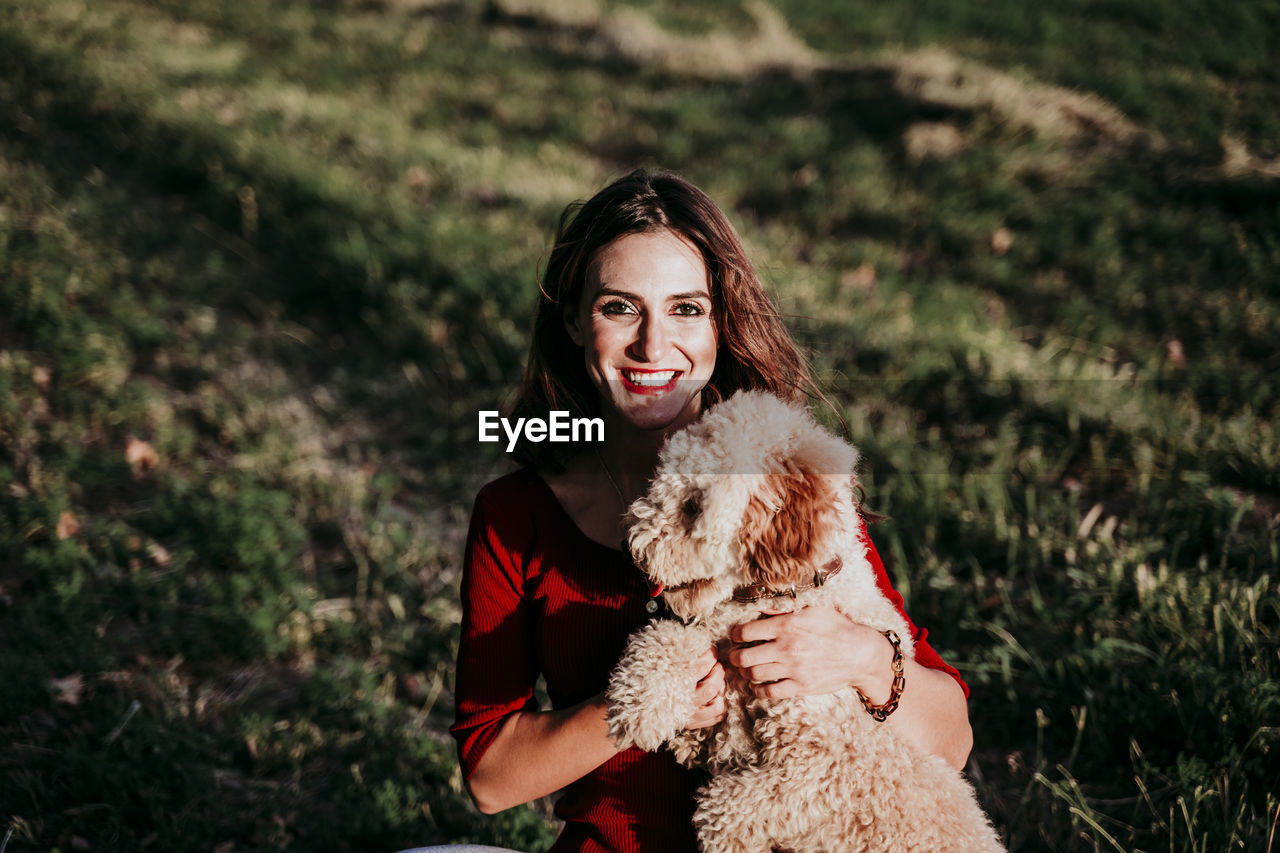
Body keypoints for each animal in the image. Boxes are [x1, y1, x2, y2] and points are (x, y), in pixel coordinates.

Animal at [604, 389, 1003, 850]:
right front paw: (639, 707)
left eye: (691, 506)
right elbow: (670, 639)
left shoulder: (827, 762)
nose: (628, 547)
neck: (787, 595)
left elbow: (725, 811)